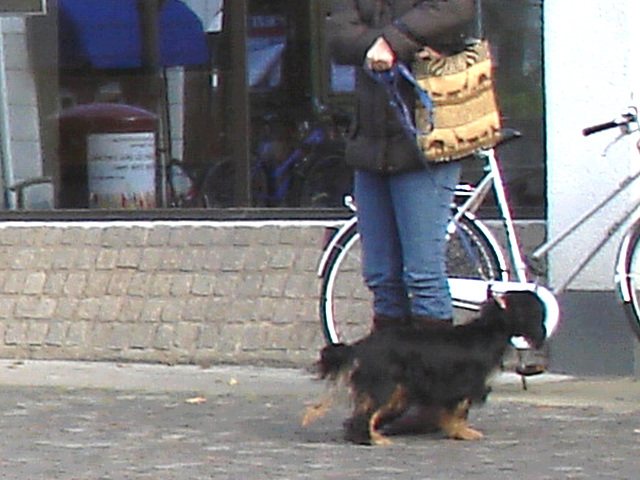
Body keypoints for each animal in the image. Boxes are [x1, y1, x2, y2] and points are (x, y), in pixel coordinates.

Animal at [304, 290, 544, 448]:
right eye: (536, 312)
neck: (488, 331)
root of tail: (361, 345)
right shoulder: (465, 385)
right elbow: (459, 412)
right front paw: (463, 432)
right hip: (385, 386)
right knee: (366, 414)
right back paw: (372, 439)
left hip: (394, 388)